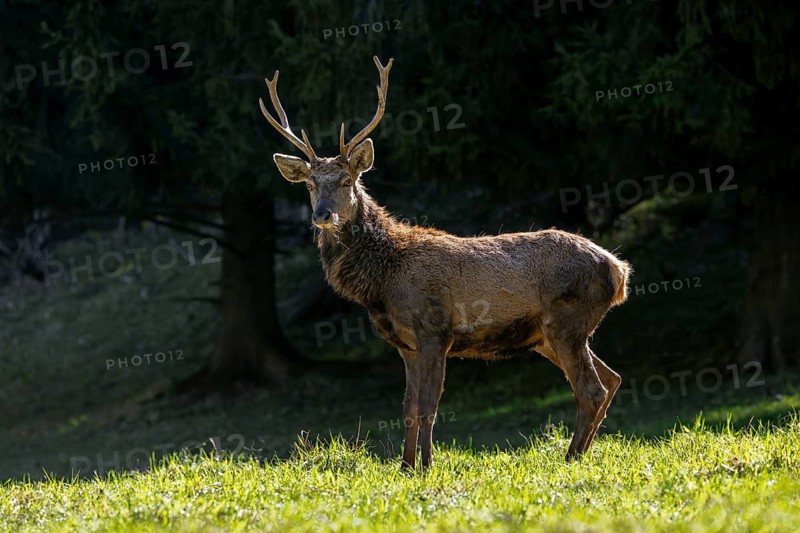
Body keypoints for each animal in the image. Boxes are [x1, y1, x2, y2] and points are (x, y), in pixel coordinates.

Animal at [260, 56, 631, 469]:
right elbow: (407, 407)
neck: (383, 279)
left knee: (591, 389)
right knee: (611, 379)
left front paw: (427, 464)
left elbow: (428, 406)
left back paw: (571, 458)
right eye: (310, 184)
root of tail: (619, 271)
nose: (322, 214)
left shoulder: (435, 330)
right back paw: (580, 452)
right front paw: (406, 466)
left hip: (567, 321)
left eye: (345, 180)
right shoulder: (405, 344)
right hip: (549, 336)